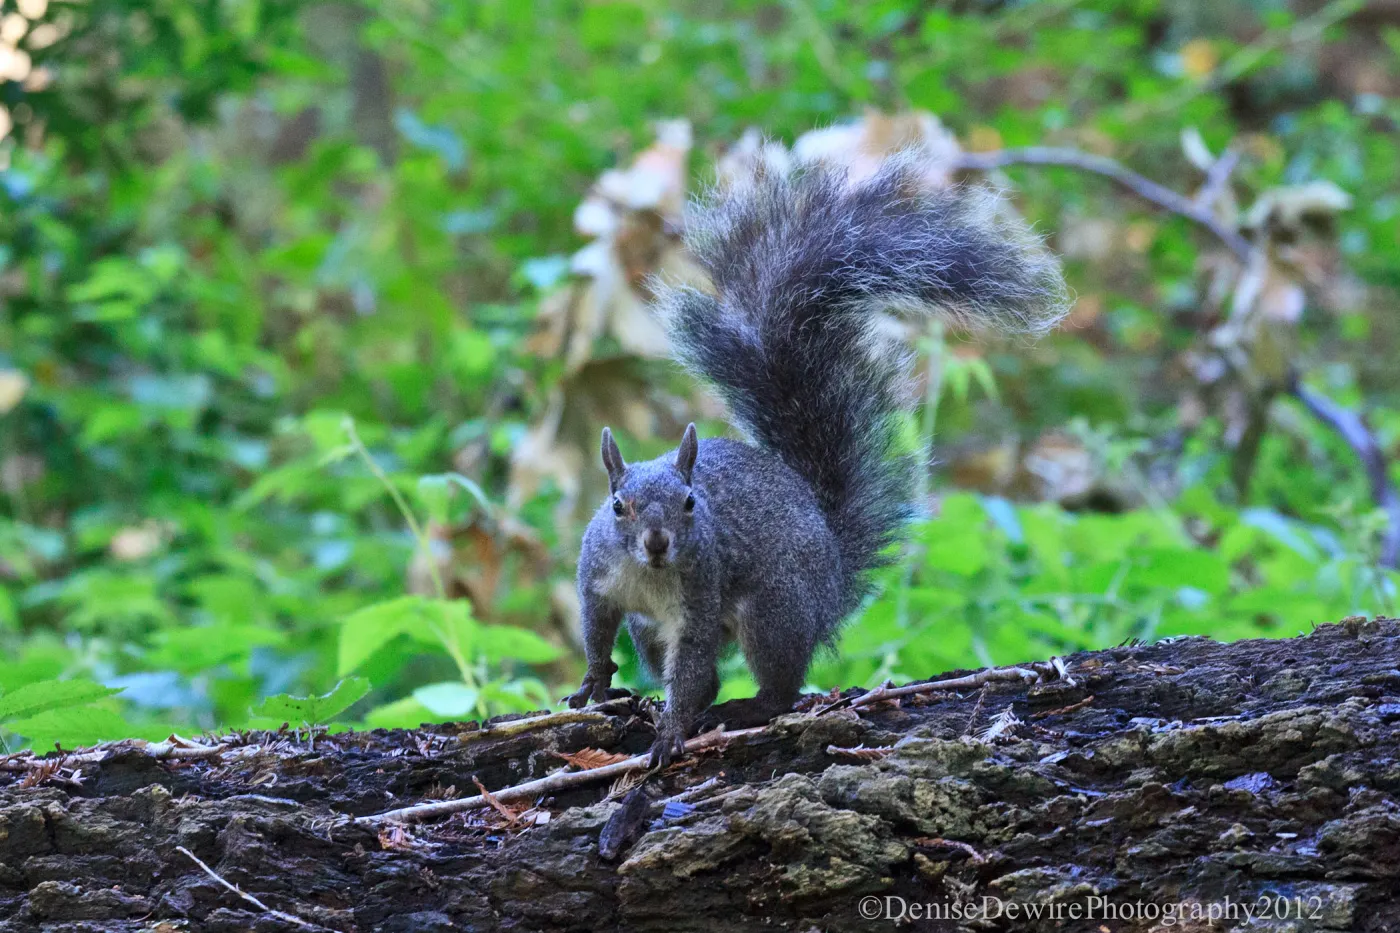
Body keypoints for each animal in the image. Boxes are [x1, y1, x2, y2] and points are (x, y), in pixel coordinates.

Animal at [565, 152, 1071, 767]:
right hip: (655, 629)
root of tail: (831, 573)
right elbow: (596, 629)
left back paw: (750, 707)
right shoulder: (599, 580)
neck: (648, 575)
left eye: (690, 503)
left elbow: (689, 667)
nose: (658, 543)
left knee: (774, 682)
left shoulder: (699, 597)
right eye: (618, 506)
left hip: (774, 610)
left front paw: (670, 732)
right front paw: (595, 679)